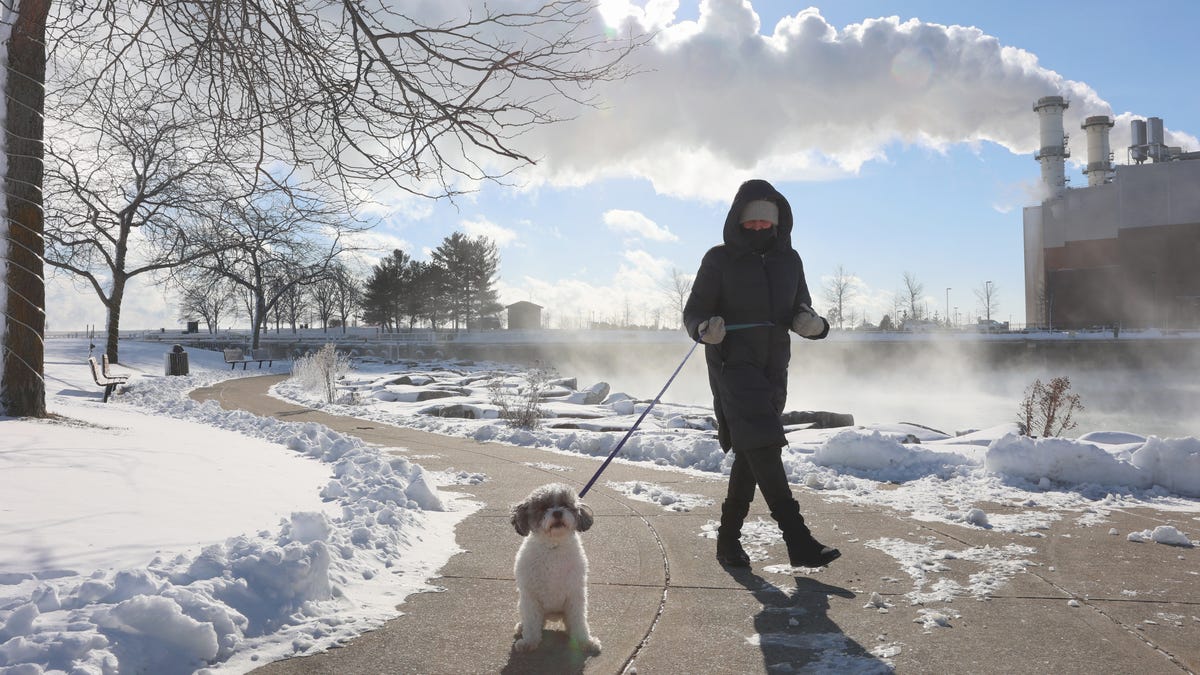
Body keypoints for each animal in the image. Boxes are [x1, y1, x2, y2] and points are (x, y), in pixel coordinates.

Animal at [508, 482, 600, 653]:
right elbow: (532, 623)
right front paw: (529, 642)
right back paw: (522, 626)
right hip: (524, 604)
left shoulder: (575, 595)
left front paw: (585, 642)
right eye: (544, 507)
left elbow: (579, 621)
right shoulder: (530, 597)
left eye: (565, 504)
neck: (553, 547)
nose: (557, 512)